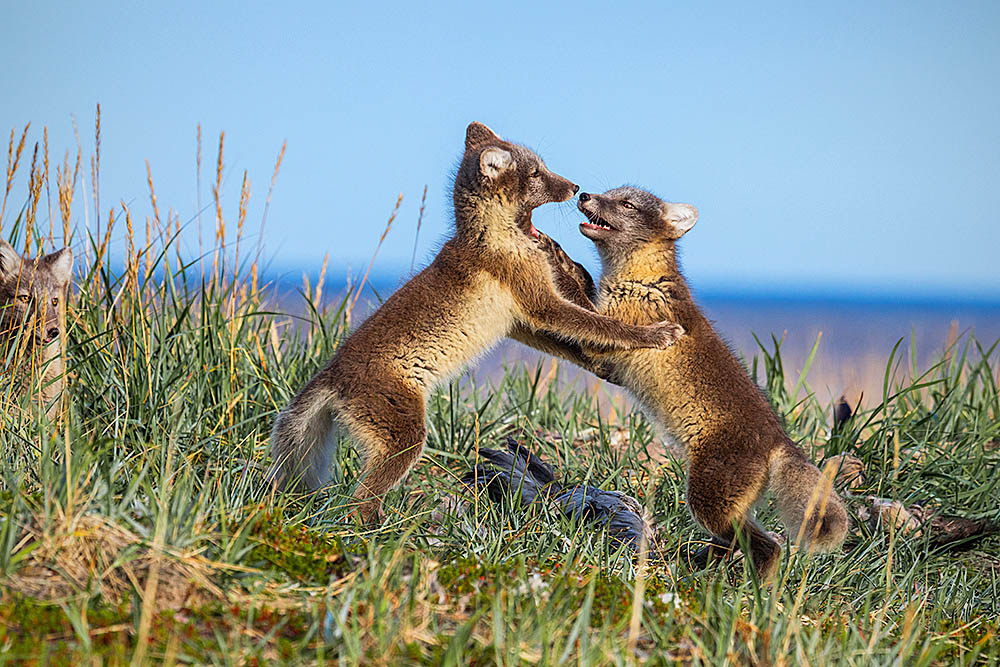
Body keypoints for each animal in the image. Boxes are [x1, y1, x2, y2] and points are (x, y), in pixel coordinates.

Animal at [270, 124, 684, 520]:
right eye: (537, 173)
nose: (576, 188)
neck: (495, 238)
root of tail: (332, 373)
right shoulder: (543, 305)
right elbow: (600, 324)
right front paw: (653, 334)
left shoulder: (519, 322)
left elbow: (570, 347)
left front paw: (605, 366)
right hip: (406, 438)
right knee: (358, 502)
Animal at [536, 185, 848, 576]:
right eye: (610, 193)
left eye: (627, 204)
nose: (585, 195)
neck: (641, 279)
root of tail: (778, 438)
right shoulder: (607, 358)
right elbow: (583, 287)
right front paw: (565, 258)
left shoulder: (608, 336)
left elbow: (575, 298)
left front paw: (552, 255)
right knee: (735, 541)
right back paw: (699, 565)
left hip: (705, 499)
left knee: (767, 546)